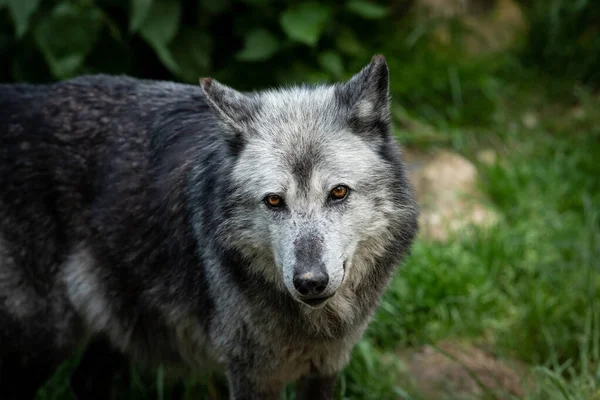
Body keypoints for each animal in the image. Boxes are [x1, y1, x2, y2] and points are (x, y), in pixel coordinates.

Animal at [0, 54, 418, 398]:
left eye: (338, 192)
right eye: (273, 201)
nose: (310, 281)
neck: (313, 324)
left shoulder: (326, 368)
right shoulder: (252, 376)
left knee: (84, 381)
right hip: (44, 339)